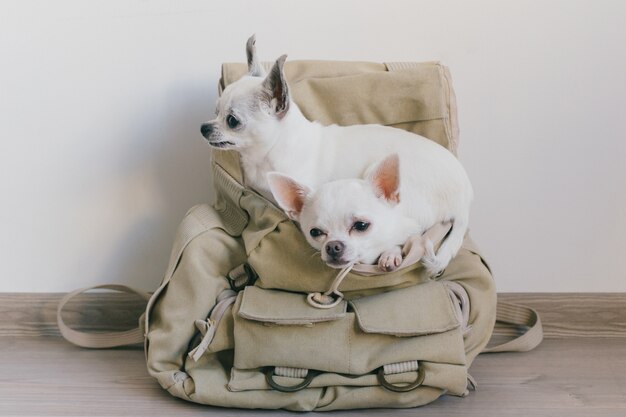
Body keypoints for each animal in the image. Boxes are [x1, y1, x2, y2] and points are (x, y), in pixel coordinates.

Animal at [266, 152, 468, 272]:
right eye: (315, 233)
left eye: (361, 226)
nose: (333, 246)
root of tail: (465, 202)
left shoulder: (412, 227)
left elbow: (401, 240)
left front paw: (390, 254)